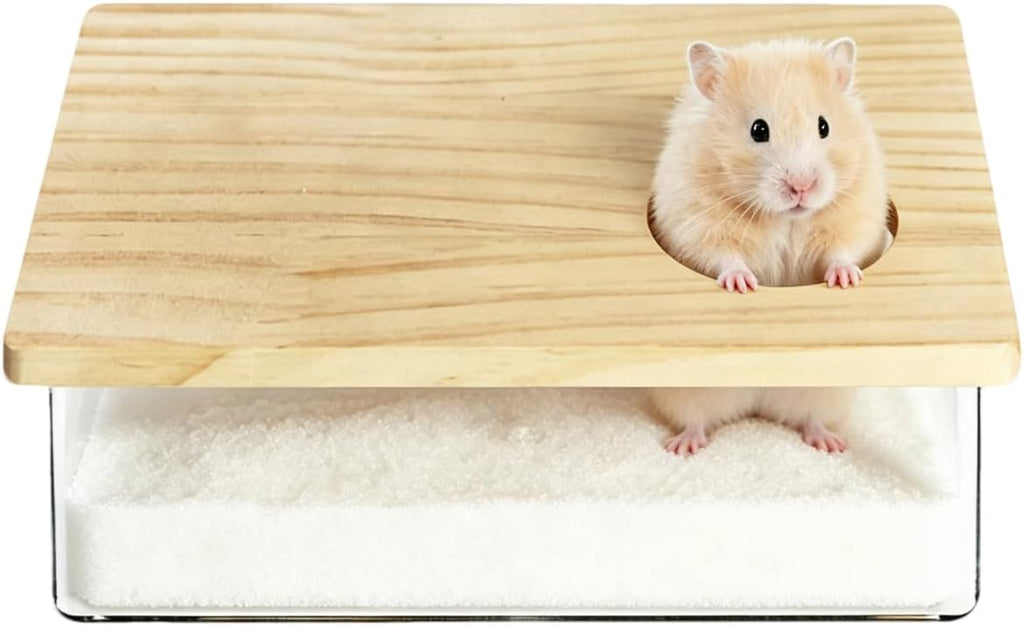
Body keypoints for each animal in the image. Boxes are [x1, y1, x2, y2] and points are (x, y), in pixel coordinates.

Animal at [650, 37, 889, 291]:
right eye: (758, 130)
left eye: (823, 126)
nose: (801, 187)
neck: (786, 219)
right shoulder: (694, 225)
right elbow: (723, 255)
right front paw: (742, 284)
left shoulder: (859, 218)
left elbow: (844, 250)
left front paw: (846, 280)